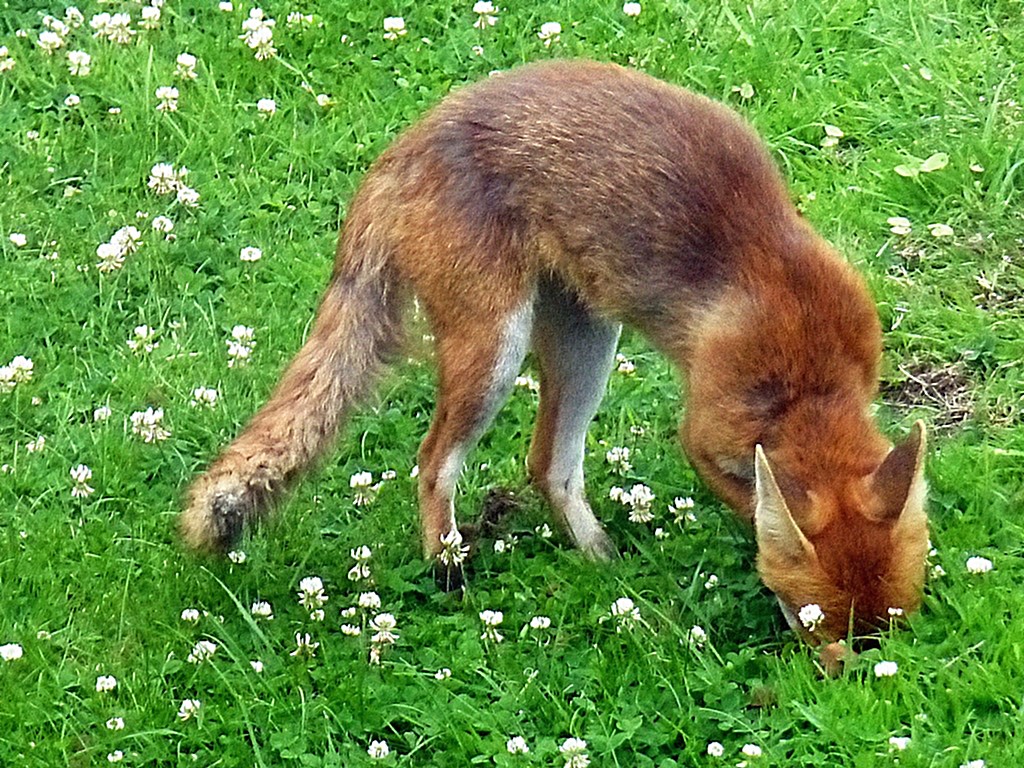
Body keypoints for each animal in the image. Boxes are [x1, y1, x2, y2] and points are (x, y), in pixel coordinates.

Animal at [182, 60, 929, 643]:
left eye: (890, 627)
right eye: (819, 628)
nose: (851, 681)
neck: (809, 376)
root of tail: (410, 141)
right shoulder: (702, 432)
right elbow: (750, 503)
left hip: (586, 342)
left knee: (547, 466)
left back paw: (599, 559)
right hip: (496, 348)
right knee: (433, 460)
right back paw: (447, 568)